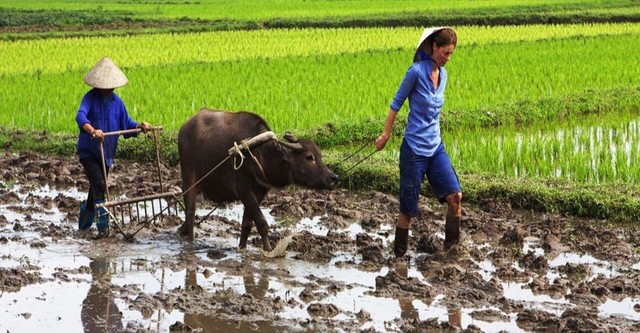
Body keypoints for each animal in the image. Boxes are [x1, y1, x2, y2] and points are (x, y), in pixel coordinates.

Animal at [179, 108, 340, 249]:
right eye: (309, 157)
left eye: (320, 156)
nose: (334, 177)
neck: (261, 155)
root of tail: (185, 127)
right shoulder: (245, 192)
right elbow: (262, 223)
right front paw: (268, 250)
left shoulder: (259, 193)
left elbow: (247, 225)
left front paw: (242, 248)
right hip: (189, 180)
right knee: (190, 213)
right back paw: (190, 242)